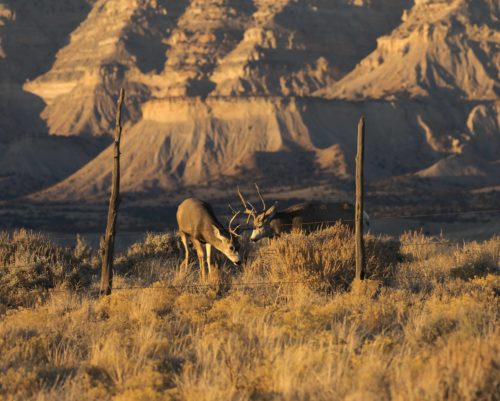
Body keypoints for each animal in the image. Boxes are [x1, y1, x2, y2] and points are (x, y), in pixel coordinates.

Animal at [233, 184, 368, 241]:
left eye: (260, 225)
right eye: (253, 225)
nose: (252, 239)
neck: (286, 223)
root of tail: (366, 216)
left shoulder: (302, 231)